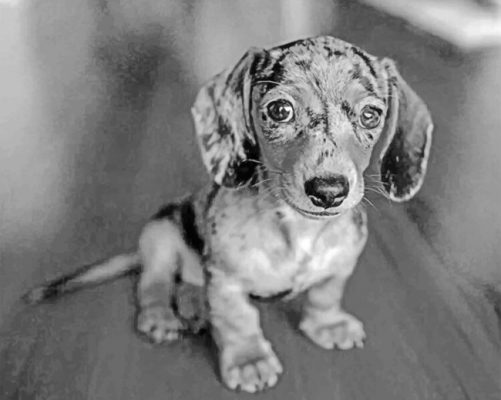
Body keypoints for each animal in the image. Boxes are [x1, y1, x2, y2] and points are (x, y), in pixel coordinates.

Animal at [24, 36, 430, 392]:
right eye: (280, 110)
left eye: (371, 115)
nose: (329, 191)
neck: (299, 230)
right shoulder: (228, 282)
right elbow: (239, 321)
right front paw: (249, 360)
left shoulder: (340, 265)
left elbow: (325, 294)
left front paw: (327, 325)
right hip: (161, 238)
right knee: (153, 283)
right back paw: (161, 316)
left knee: (187, 286)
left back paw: (195, 308)